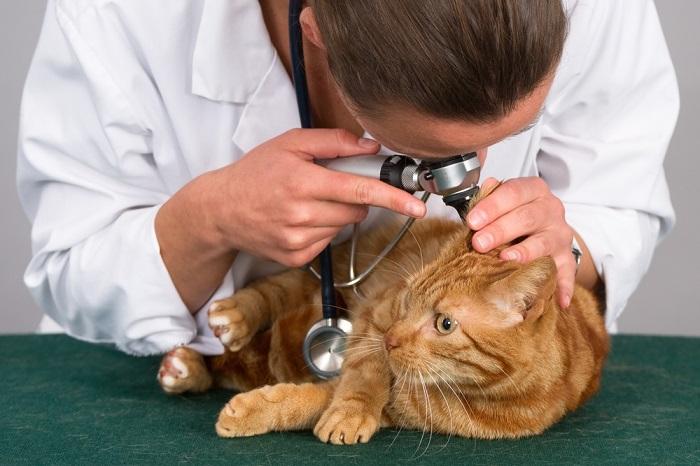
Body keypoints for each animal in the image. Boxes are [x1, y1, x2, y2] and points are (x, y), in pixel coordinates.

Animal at [157, 184, 608, 442]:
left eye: (445, 324)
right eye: (408, 300)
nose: (393, 338)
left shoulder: (397, 409)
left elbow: (312, 400)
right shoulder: (376, 315)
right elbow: (362, 374)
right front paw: (352, 408)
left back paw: (187, 368)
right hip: (326, 276)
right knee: (275, 291)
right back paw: (230, 319)